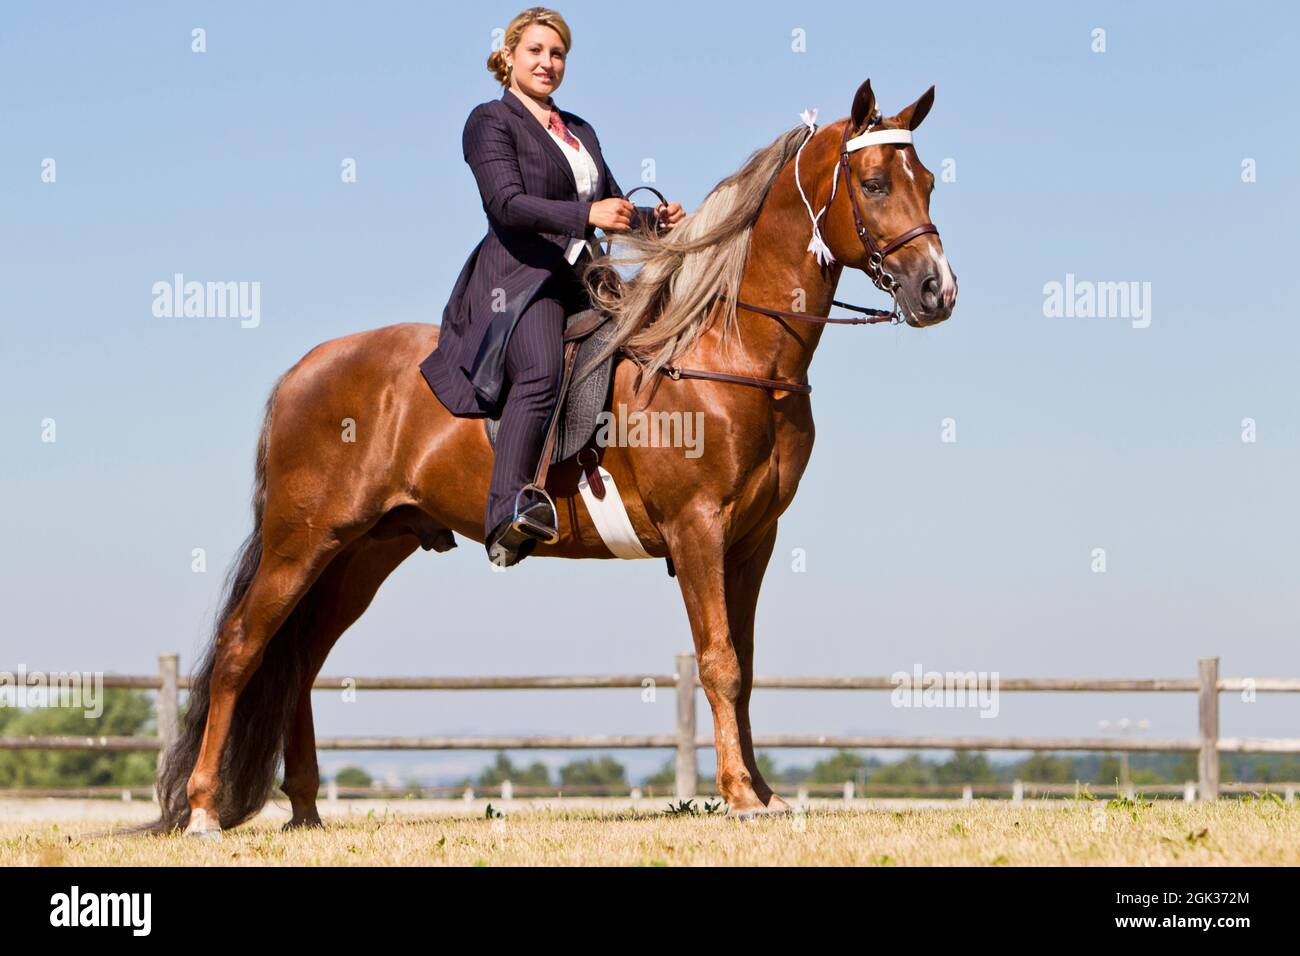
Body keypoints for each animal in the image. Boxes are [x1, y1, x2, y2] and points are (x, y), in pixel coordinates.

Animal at [140, 77, 957, 836]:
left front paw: (762, 792)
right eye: (874, 183)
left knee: (300, 662)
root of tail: (301, 371)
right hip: (301, 538)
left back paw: (306, 811)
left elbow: (747, 666)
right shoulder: (698, 529)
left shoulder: (753, 539)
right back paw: (205, 809)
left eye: (927, 180)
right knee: (243, 649)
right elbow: (720, 662)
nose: (937, 291)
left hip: (364, 550)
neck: (725, 349)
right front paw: (737, 798)